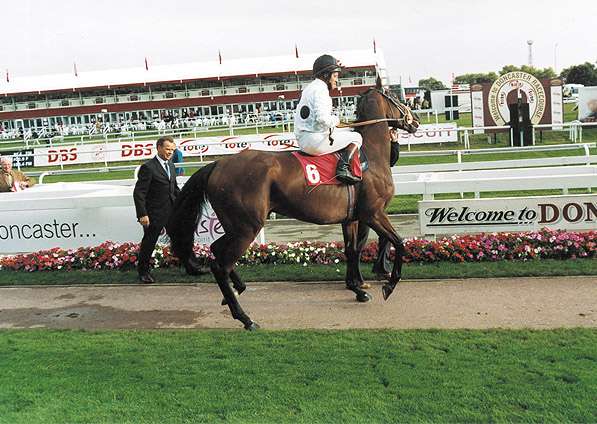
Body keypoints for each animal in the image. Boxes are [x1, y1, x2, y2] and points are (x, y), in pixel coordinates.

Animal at [166, 79, 420, 332]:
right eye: (396, 97)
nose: (416, 119)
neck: (371, 157)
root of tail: (217, 164)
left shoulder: (352, 217)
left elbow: (352, 250)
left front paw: (357, 289)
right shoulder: (373, 213)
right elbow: (399, 242)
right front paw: (389, 284)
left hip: (235, 226)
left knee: (216, 250)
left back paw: (237, 289)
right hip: (247, 227)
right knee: (221, 266)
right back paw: (245, 318)